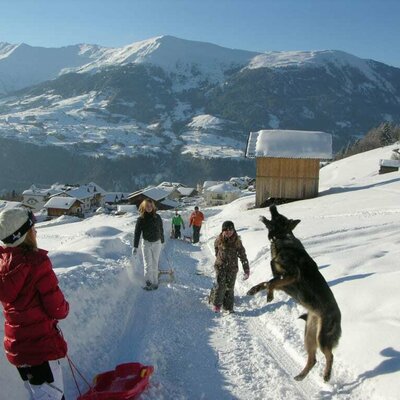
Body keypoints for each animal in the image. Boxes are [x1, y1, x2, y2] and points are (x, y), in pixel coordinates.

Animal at [247, 205, 340, 382]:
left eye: (279, 217)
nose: (272, 205)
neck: (282, 238)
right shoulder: (282, 280)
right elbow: (267, 282)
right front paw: (254, 290)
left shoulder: (291, 275)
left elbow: (270, 283)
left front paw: (269, 296)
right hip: (309, 336)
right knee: (313, 359)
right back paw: (301, 376)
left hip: (321, 337)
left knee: (330, 355)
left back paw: (326, 375)